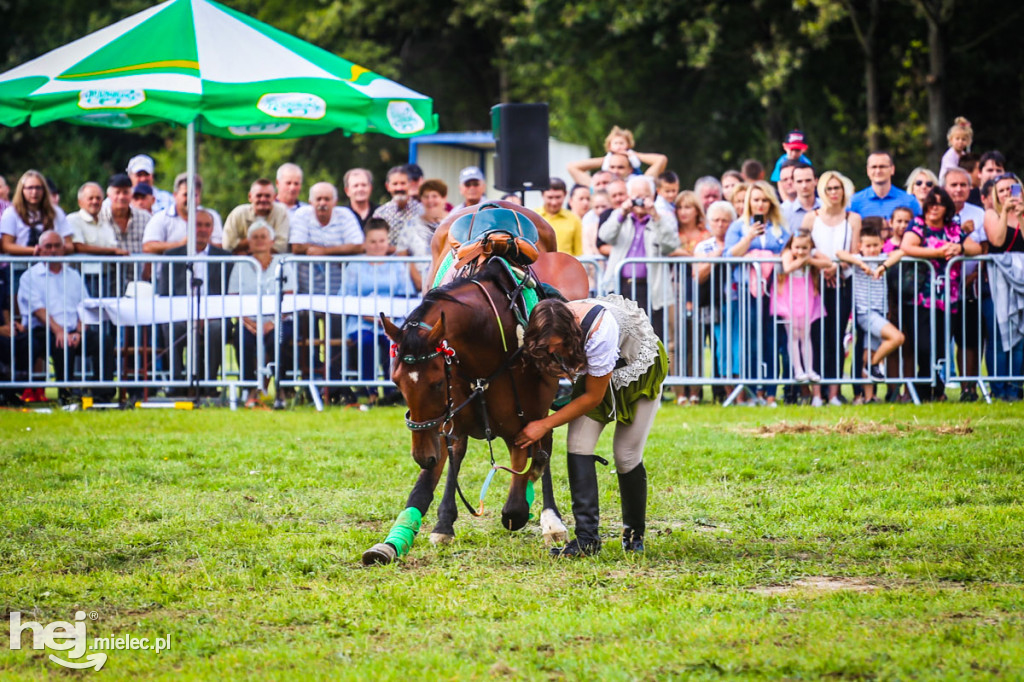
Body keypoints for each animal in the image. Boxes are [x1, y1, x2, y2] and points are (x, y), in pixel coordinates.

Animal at [362, 254, 589, 561]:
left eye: (436, 383)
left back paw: (550, 518)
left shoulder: (522, 424)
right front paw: (396, 541)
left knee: (544, 450)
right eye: (396, 381)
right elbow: (429, 480)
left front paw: (537, 505)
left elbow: (516, 503)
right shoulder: (444, 422)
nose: (421, 456)